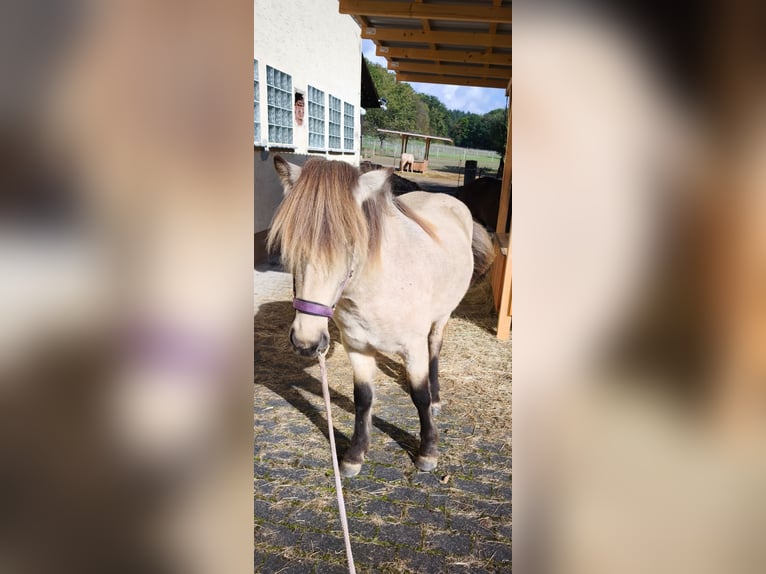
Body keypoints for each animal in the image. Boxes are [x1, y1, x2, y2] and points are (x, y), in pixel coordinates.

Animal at [267, 155, 495, 476]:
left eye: (351, 243)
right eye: (290, 244)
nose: (306, 342)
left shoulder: (413, 348)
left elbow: (419, 396)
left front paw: (427, 451)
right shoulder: (357, 348)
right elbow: (363, 398)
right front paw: (355, 454)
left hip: (442, 317)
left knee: (435, 349)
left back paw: (437, 397)